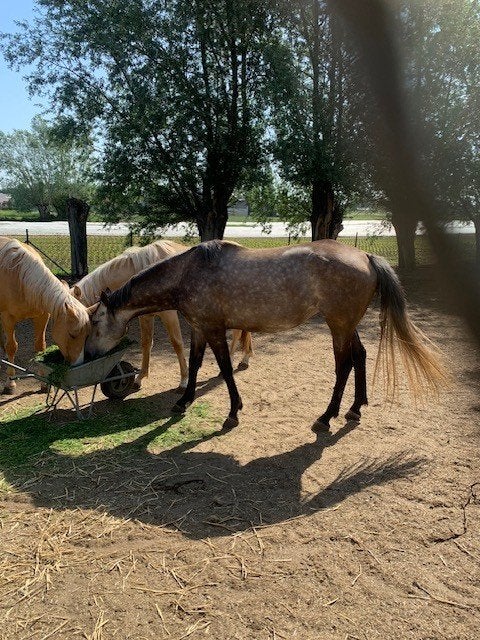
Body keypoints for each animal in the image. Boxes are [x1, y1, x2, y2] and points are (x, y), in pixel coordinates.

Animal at [0, 236, 91, 394]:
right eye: (72, 335)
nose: (78, 363)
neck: (21, 279)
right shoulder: (8, 319)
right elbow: (12, 347)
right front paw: (10, 383)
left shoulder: (42, 317)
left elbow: (40, 346)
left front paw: (44, 384)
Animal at [72, 239, 253, 390]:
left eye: (93, 322)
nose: (88, 354)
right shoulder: (145, 316)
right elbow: (146, 343)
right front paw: (140, 378)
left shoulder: (169, 314)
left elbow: (177, 343)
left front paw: (184, 380)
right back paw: (245, 358)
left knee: (237, 333)